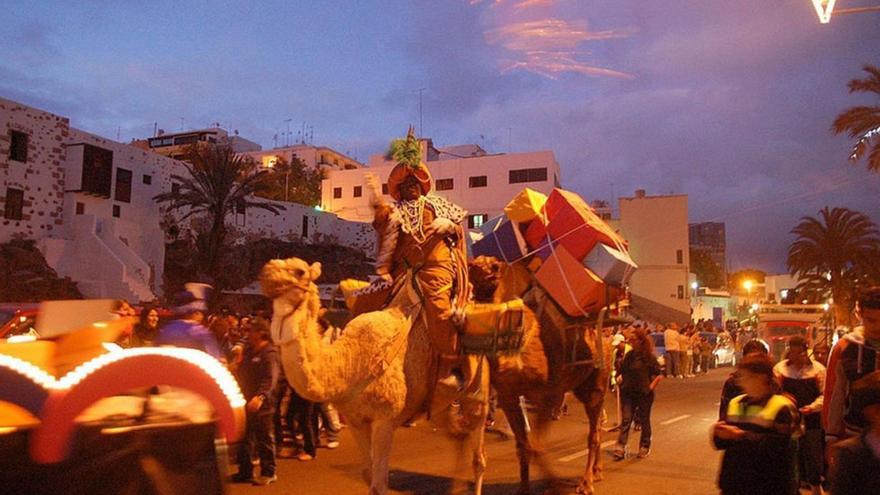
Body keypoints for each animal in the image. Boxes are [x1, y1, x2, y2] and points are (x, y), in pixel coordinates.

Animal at [258, 258, 492, 495]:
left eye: (300, 271)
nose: (268, 275)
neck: (349, 364)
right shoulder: (356, 422)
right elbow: (367, 475)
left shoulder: (384, 420)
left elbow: (379, 484)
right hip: (436, 402)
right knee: (456, 433)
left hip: (477, 394)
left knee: (479, 457)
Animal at [468, 258, 612, 495]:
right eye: (473, 269)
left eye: (492, 268)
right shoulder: (509, 397)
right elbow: (523, 446)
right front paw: (524, 488)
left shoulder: (548, 394)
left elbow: (536, 447)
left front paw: (556, 485)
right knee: (597, 426)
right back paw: (598, 471)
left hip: (597, 384)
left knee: (594, 431)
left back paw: (586, 481)